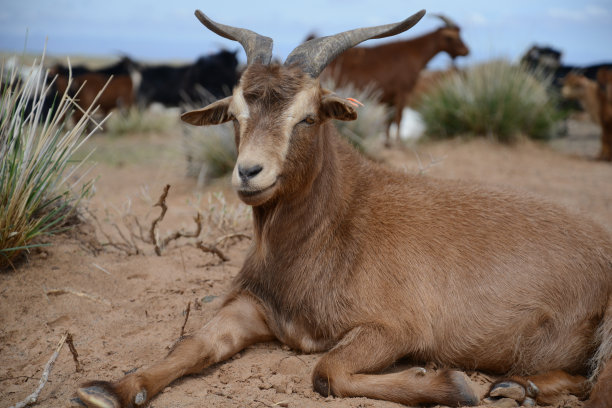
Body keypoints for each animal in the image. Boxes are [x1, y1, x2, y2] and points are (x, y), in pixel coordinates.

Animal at [326, 14, 468, 147]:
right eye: (450, 37)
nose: (466, 51)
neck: (413, 53)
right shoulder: (403, 92)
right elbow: (398, 118)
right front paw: (398, 143)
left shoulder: (390, 97)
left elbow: (389, 120)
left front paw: (387, 143)